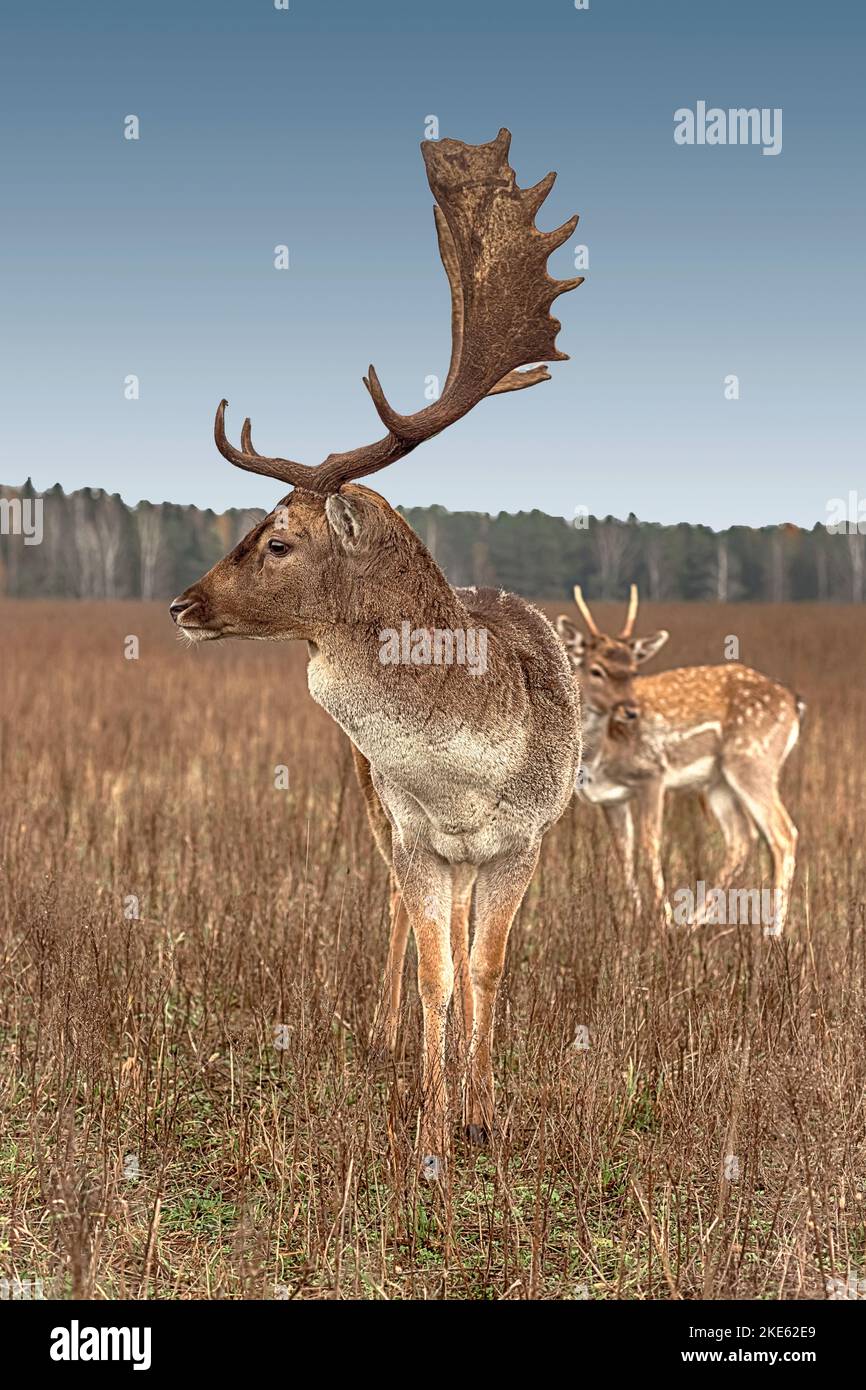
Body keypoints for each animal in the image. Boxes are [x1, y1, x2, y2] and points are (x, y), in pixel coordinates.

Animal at [169, 127, 586, 1173]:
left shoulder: (524, 841)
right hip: (373, 813)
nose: (183, 603)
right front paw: (434, 1127)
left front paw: (485, 1114)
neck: (467, 772)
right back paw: (387, 1032)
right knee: (400, 923)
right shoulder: (413, 833)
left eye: (279, 539)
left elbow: (487, 971)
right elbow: (439, 972)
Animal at [558, 581, 800, 928]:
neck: (600, 757)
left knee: (782, 834)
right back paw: (695, 923)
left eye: (633, 670)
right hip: (718, 781)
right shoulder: (610, 798)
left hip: (753, 759)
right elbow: (624, 854)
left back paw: (773, 929)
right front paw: (633, 919)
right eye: (596, 670)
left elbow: (650, 846)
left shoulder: (653, 773)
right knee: (742, 838)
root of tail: (794, 704)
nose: (631, 711)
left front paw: (661, 920)